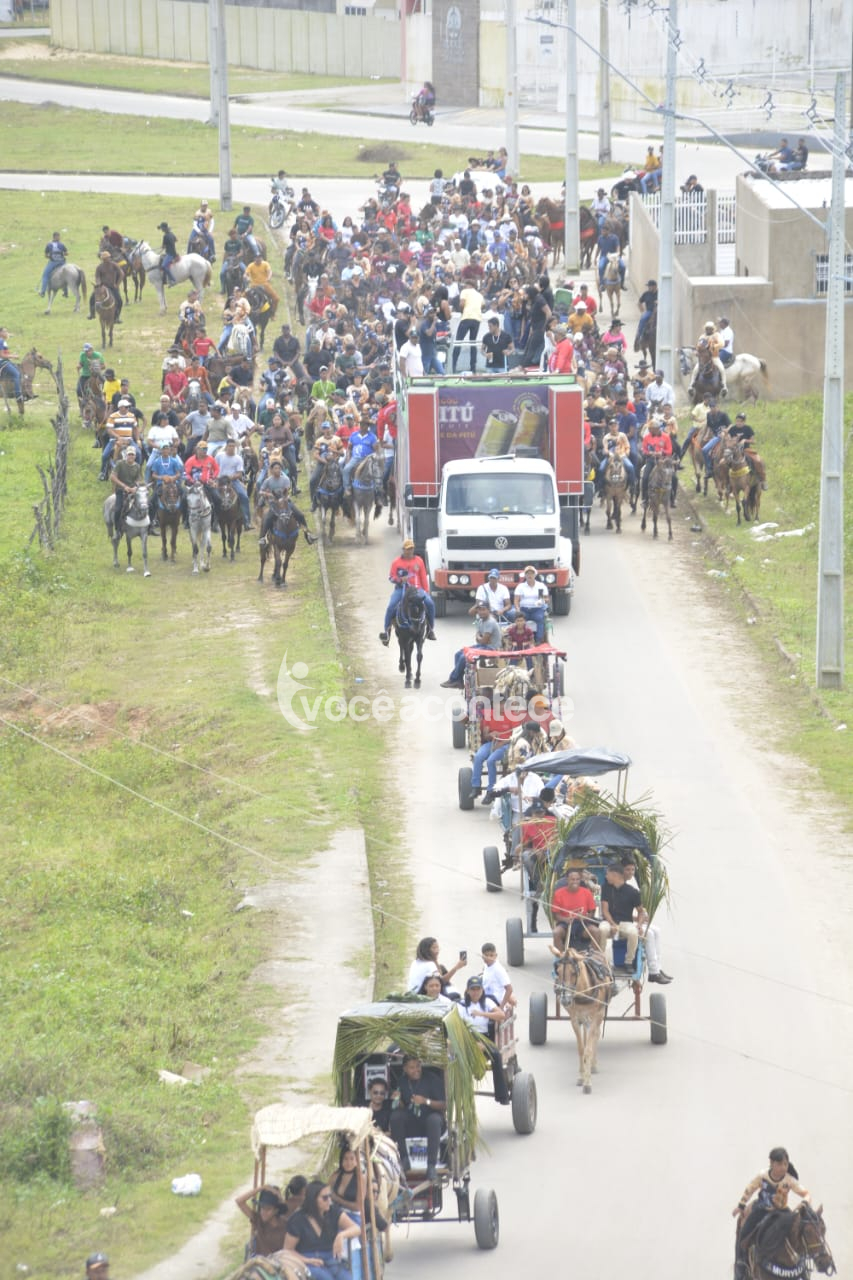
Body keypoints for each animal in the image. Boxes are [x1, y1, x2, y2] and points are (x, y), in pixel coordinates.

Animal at [554, 947, 613, 1093]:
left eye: (574, 972)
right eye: (558, 971)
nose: (565, 999)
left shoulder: (594, 1018)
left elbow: (588, 1049)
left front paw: (587, 1082)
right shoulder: (575, 1020)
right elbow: (581, 1049)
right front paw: (581, 1077)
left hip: (599, 1014)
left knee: (596, 1035)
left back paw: (593, 1065)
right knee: (588, 1037)